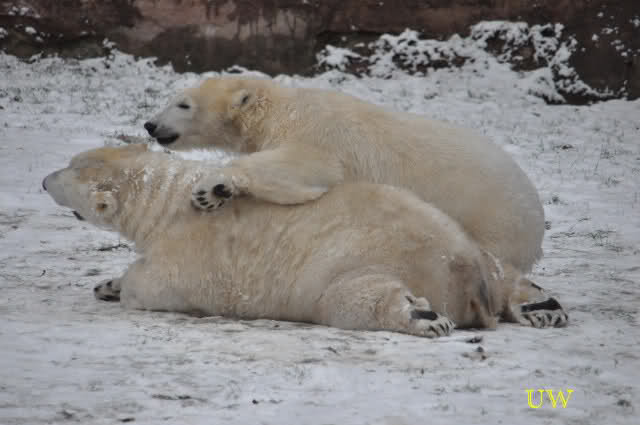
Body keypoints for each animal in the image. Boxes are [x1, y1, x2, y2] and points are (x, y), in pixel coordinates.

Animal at [42, 144, 567, 337]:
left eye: (68, 169)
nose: (43, 180)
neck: (165, 202)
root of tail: (465, 272)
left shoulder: (190, 253)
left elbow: (156, 283)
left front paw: (121, 286)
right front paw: (106, 284)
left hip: (369, 263)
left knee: (353, 300)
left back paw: (423, 317)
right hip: (461, 236)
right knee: (505, 272)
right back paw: (543, 305)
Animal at [144, 77, 545, 276]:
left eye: (183, 104)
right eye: (174, 99)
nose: (150, 124)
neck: (280, 110)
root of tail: (536, 216)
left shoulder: (317, 134)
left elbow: (302, 170)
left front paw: (207, 186)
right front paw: (216, 193)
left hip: (491, 219)